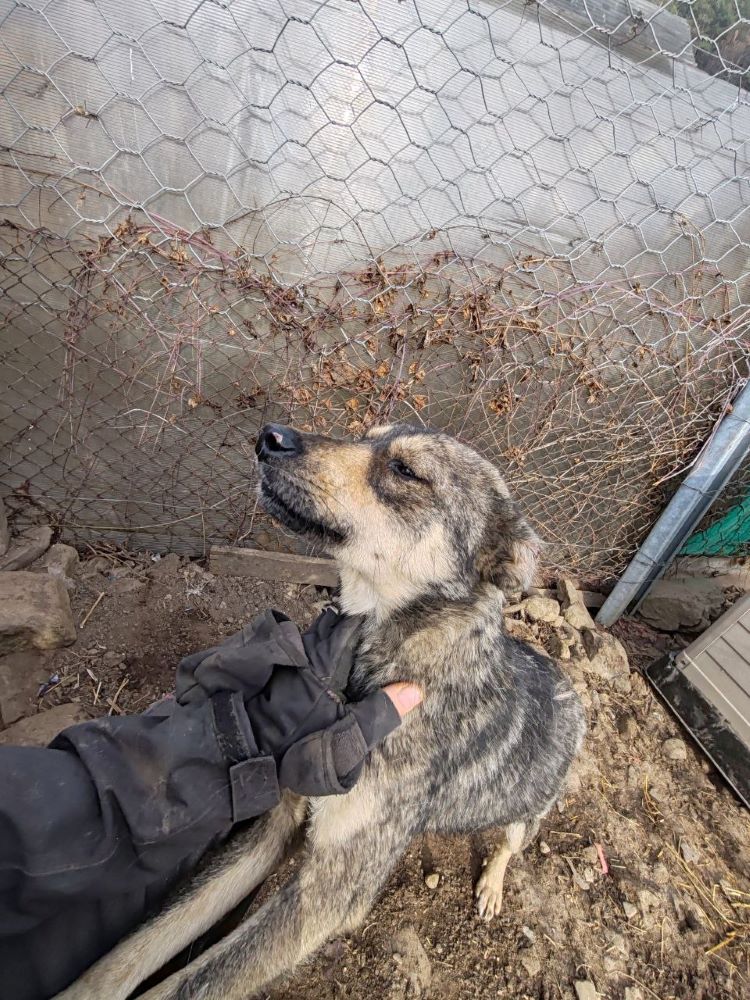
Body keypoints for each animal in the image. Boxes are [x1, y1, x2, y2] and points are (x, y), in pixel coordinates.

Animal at [60, 424, 588, 1000]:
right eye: (368, 436)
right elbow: (131, 951)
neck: (379, 667)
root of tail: (573, 691)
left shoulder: (331, 890)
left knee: (511, 843)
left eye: (406, 470)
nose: (271, 436)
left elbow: (194, 983)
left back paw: (492, 884)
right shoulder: (278, 818)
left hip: (528, 811)